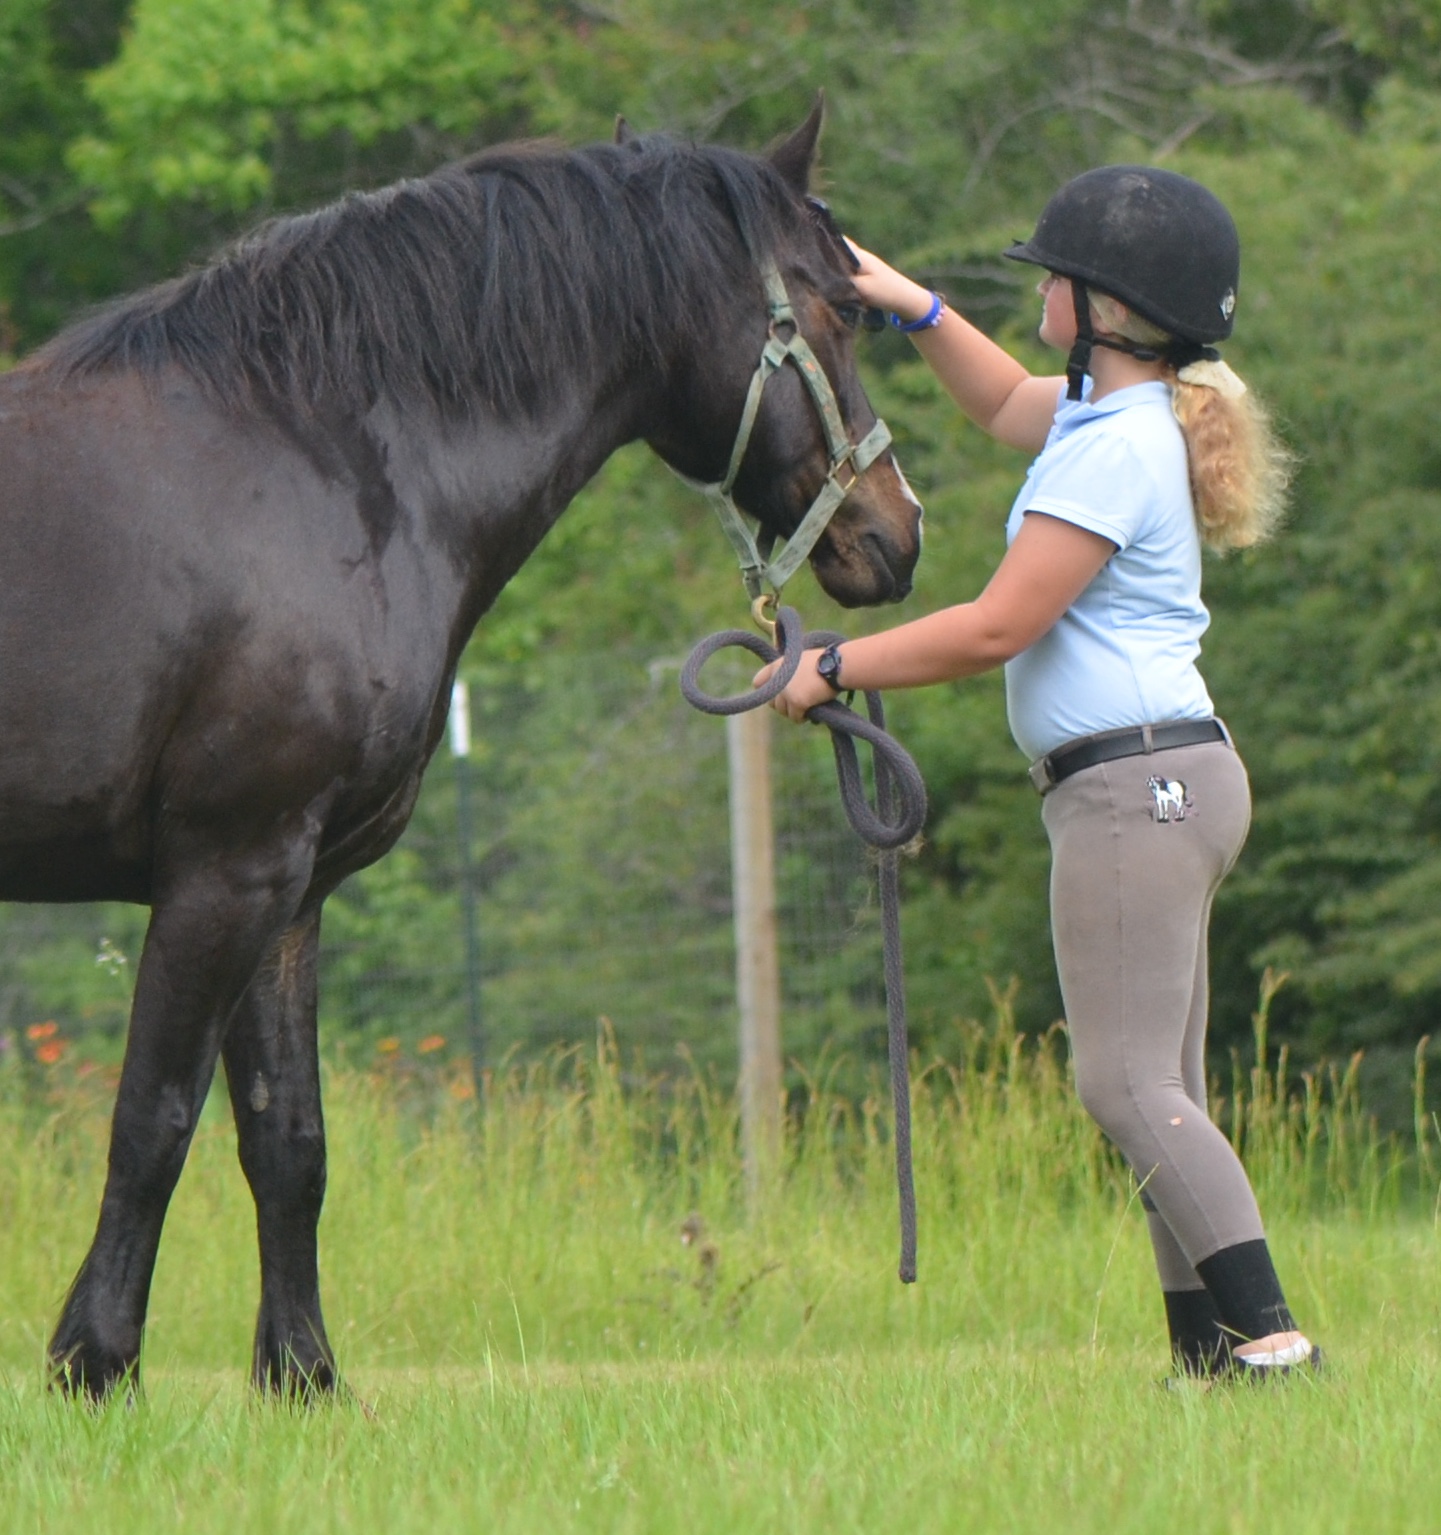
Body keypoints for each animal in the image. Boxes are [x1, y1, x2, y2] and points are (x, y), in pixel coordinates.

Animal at [0, 101, 922, 1398]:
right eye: (838, 305)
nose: (895, 533)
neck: (309, 462)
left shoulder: (287, 890)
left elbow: (287, 1136)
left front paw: (303, 1377)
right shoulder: (222, 871)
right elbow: (153, 1119)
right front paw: (94, 1365)